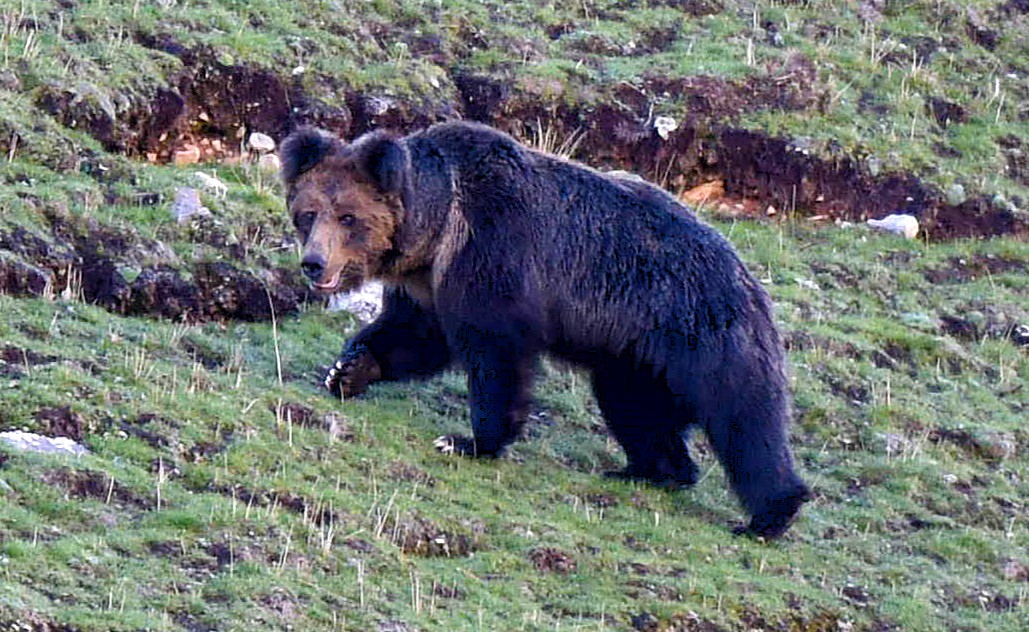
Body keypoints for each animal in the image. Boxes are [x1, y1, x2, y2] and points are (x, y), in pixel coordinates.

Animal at [279, 121, 810, 539]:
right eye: (308, 213)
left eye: (348, 217)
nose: (314, 263)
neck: (438, 227)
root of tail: (748, 276)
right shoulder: (428, 284)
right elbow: (415, 335)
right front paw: (348, 370)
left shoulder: (494, 255)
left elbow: (495, 357)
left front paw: (470, 440)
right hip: (634, 359)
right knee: (634, 410)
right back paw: (647, 471)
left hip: (701, 334)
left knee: (744, 421)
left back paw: (768, 515)